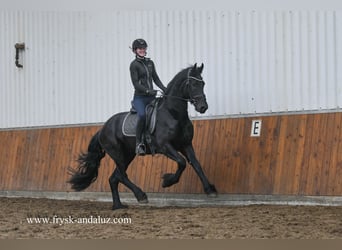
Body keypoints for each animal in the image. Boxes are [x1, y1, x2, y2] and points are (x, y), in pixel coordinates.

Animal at [67, 62, 216, 209]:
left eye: (203, 83)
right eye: (192, 84)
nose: (203, 107)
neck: (173, 113)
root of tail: (102, 129)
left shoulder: (186, 144)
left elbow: (196, 164)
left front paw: (210, 189)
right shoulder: (165, 146)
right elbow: (182, 162)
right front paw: (167, 181)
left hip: (128, 155)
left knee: (114, 178)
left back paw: (118, 206)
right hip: (117, 154)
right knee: (122, 175)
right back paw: (141, 195)